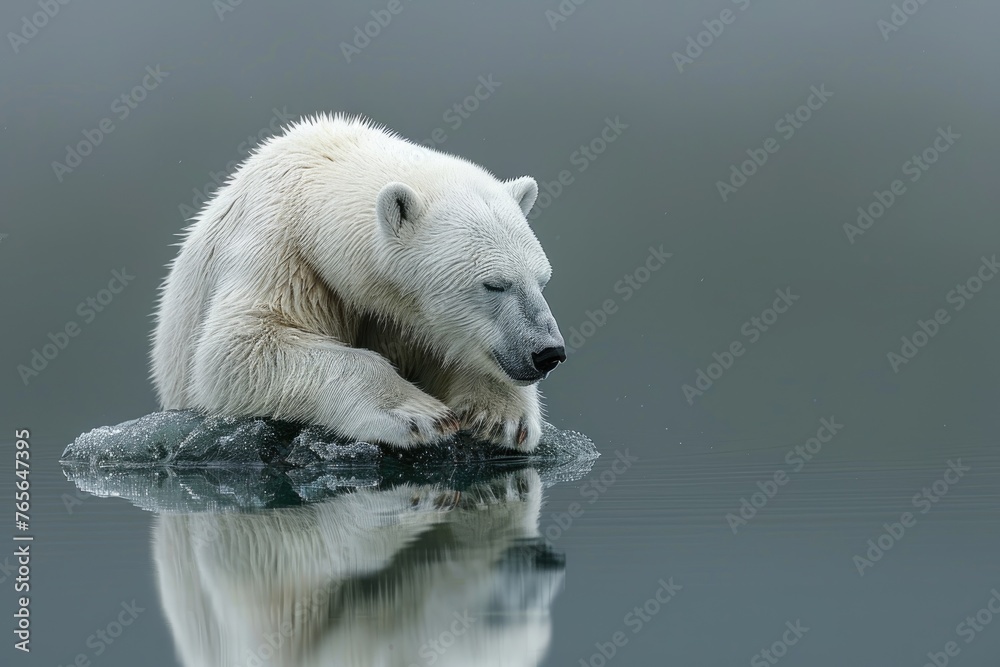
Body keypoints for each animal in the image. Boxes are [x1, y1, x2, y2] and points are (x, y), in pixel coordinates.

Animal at [151, 113, 565, 452]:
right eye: (493, 284)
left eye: (542, 279)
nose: (547, 352)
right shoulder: (279, 252)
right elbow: (237, 349)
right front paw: (419, 414)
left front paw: (499, 415)